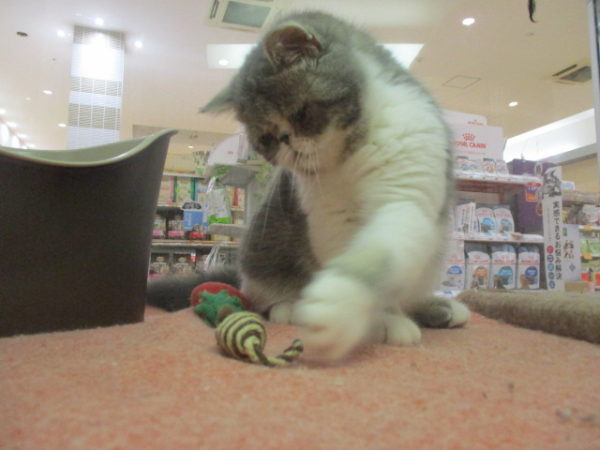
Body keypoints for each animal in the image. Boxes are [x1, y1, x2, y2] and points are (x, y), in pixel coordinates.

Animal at [148, 10, 470, 361]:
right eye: (266, 139)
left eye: (300, 114)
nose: (287, 144)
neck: (352, 154)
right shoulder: (330, 218)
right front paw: (372, 317)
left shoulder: (406, 194)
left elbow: (382, 254)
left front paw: (353, 305)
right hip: (263, 250)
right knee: (262, 296)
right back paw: (290, 306)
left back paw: (440, 307)